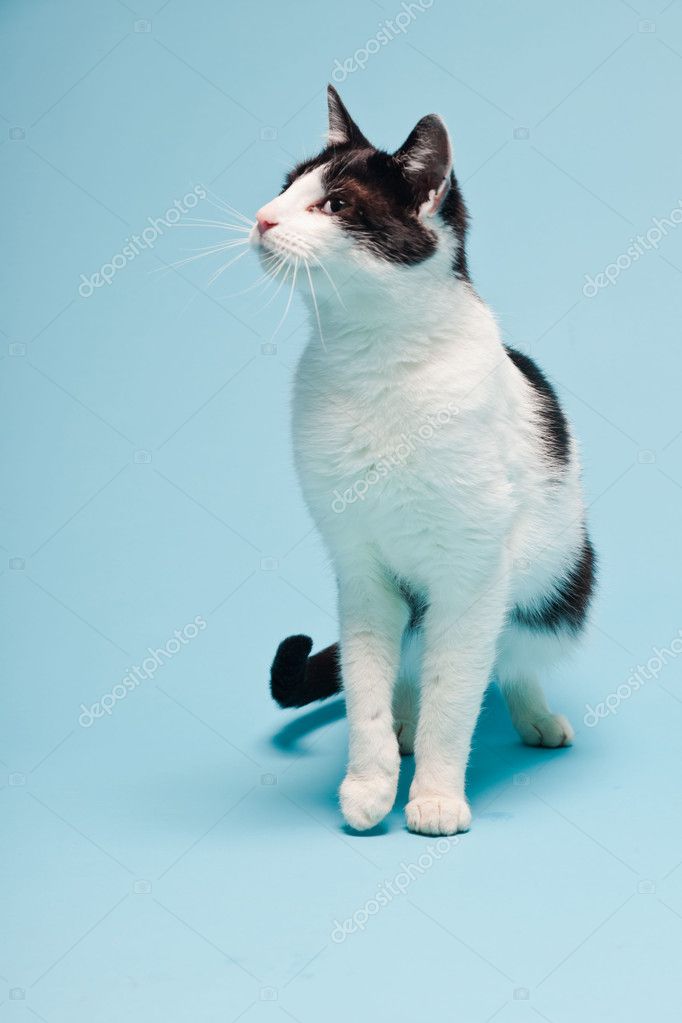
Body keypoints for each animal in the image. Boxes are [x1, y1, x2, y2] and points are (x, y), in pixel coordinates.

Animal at [258, 85, 593, 838]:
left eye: (337, 204)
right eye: (285, 186)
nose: (262, 219)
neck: (374, 358)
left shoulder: (472, 574)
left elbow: (454, 692)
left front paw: (436, 797)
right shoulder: (360, 571)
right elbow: (366, 688)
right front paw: (369, 782)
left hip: (557, 588)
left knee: (507, 658)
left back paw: (533, 718)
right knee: (408, 667)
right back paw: (404, 727)